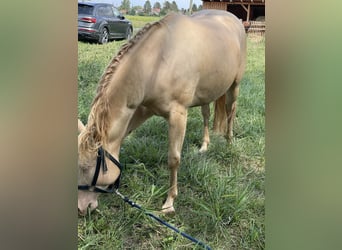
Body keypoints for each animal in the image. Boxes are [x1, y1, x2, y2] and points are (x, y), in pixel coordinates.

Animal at [78, 10, 246, 215]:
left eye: (87, 167)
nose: (81, 208)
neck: (157, 62)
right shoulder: (142, 109)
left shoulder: (178, 115)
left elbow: (173, 159)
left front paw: (169, 202)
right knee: (206, 115)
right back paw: (204, 146)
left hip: (234, 86)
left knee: (231, 111)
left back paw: (229, 142)